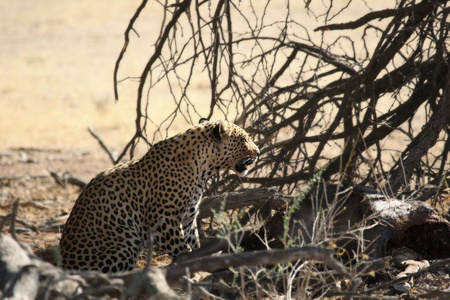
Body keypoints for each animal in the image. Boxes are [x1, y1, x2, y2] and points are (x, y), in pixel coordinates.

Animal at [59, 119, 260, 272]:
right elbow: (182, 250)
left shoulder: (188, 218)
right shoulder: (164, 218)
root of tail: (64, 266)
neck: (202, 168)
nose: (258, 152)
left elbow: (193, 243)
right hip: (124, 240)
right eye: (244, 140)